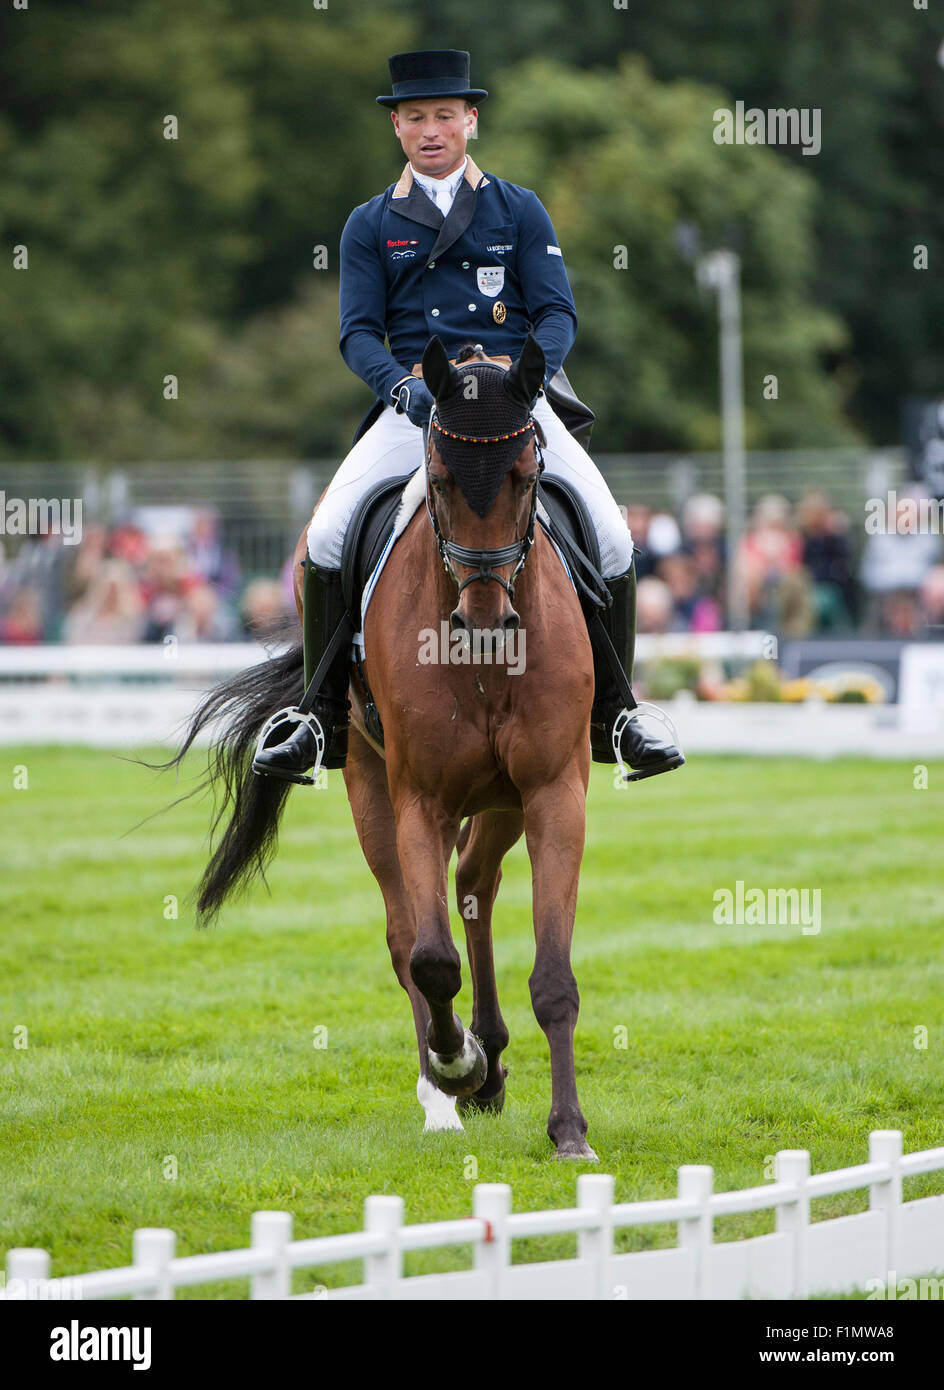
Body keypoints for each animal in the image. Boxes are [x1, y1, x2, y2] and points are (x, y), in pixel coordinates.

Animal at [169, 333, 597, 1162]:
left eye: (527, 477)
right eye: (439, 480)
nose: (484, 623)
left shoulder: (554, 791)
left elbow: (555, 976)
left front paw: (569, 1131)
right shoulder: (419, 799)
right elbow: (429, 959)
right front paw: (457, 1063)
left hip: (502, 803)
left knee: (474, 885)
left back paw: (489, 1062)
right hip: (372, 784)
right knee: (410, 937)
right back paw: (450, 1087)